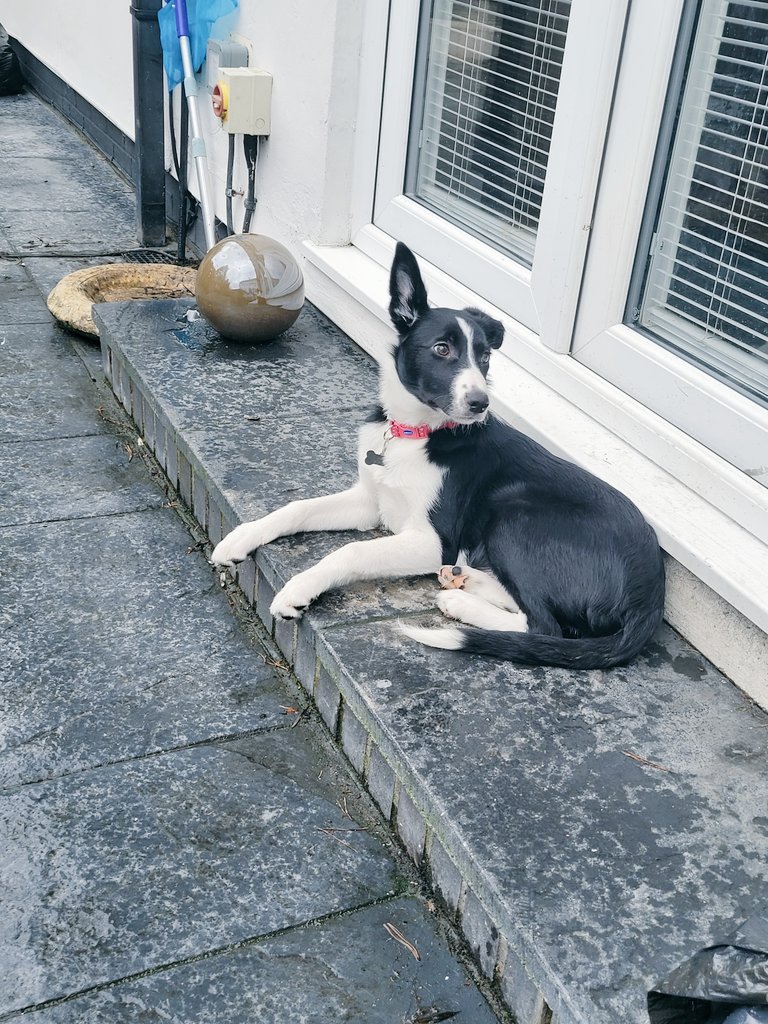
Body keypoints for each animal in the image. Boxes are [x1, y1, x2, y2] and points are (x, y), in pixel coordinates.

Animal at [214, 241, 663, 671]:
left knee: (545, 626)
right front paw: (239, 538)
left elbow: (352, 550)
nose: (481, 403)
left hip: (515, 515)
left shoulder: (434, 541)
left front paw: (298, 589)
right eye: (442, 349)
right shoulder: (372, 502)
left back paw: (460, 601)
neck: (414, 433)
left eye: (485, 358)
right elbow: (298, 508)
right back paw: (465, 580)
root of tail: (650, 596)